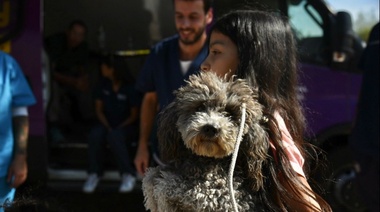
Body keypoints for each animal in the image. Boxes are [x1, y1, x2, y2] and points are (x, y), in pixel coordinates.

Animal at [142, 72, 270, 211]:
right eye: (199, 107)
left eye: (229, 113)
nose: (211, 128)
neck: (208, 160)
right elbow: (151, 177)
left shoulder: (209, 195)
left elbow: (164, 185)